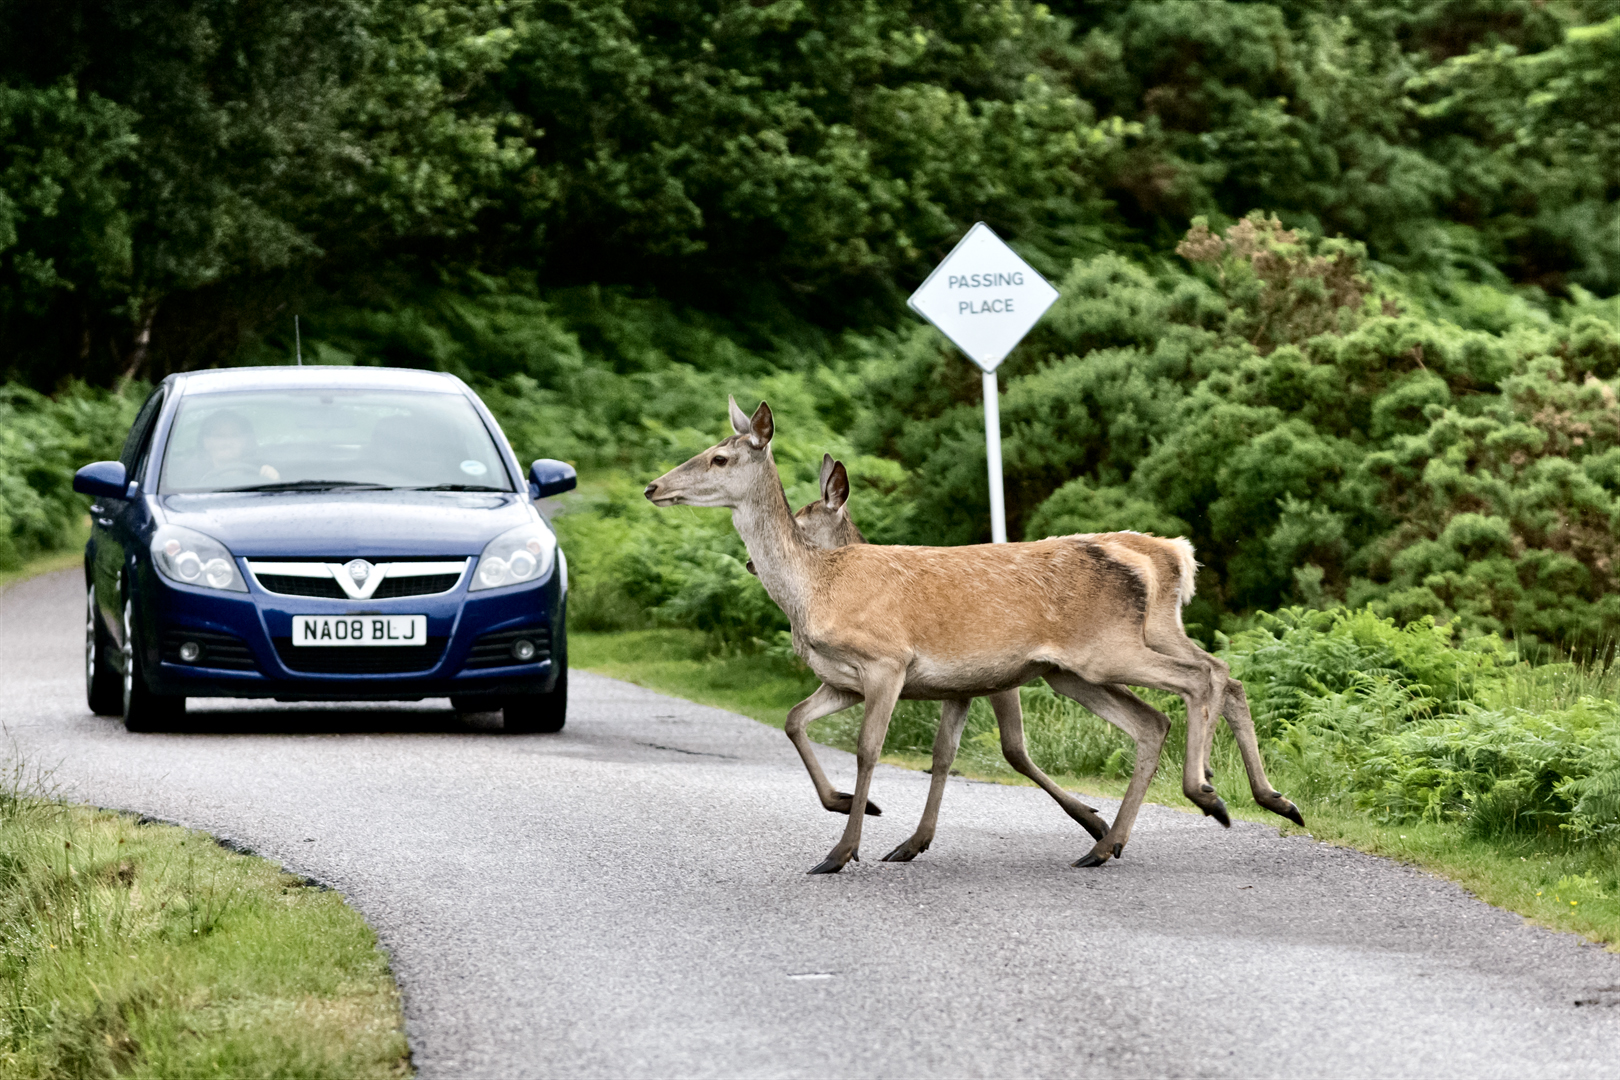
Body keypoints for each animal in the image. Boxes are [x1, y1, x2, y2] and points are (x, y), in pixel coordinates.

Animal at [644, 396, 1302, 867]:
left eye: (720, 458)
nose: (653, 486)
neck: (815, 590)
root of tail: (1175, 555)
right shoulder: (850, 680)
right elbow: (795, 721)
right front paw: (858, 812)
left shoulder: (888, 663)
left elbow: (869, 749)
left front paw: (842, 850)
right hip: (1076, 671)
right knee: (1164, 712)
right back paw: (1113, 840)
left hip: (1105, 650)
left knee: (1201, 677)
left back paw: (1208, 795)